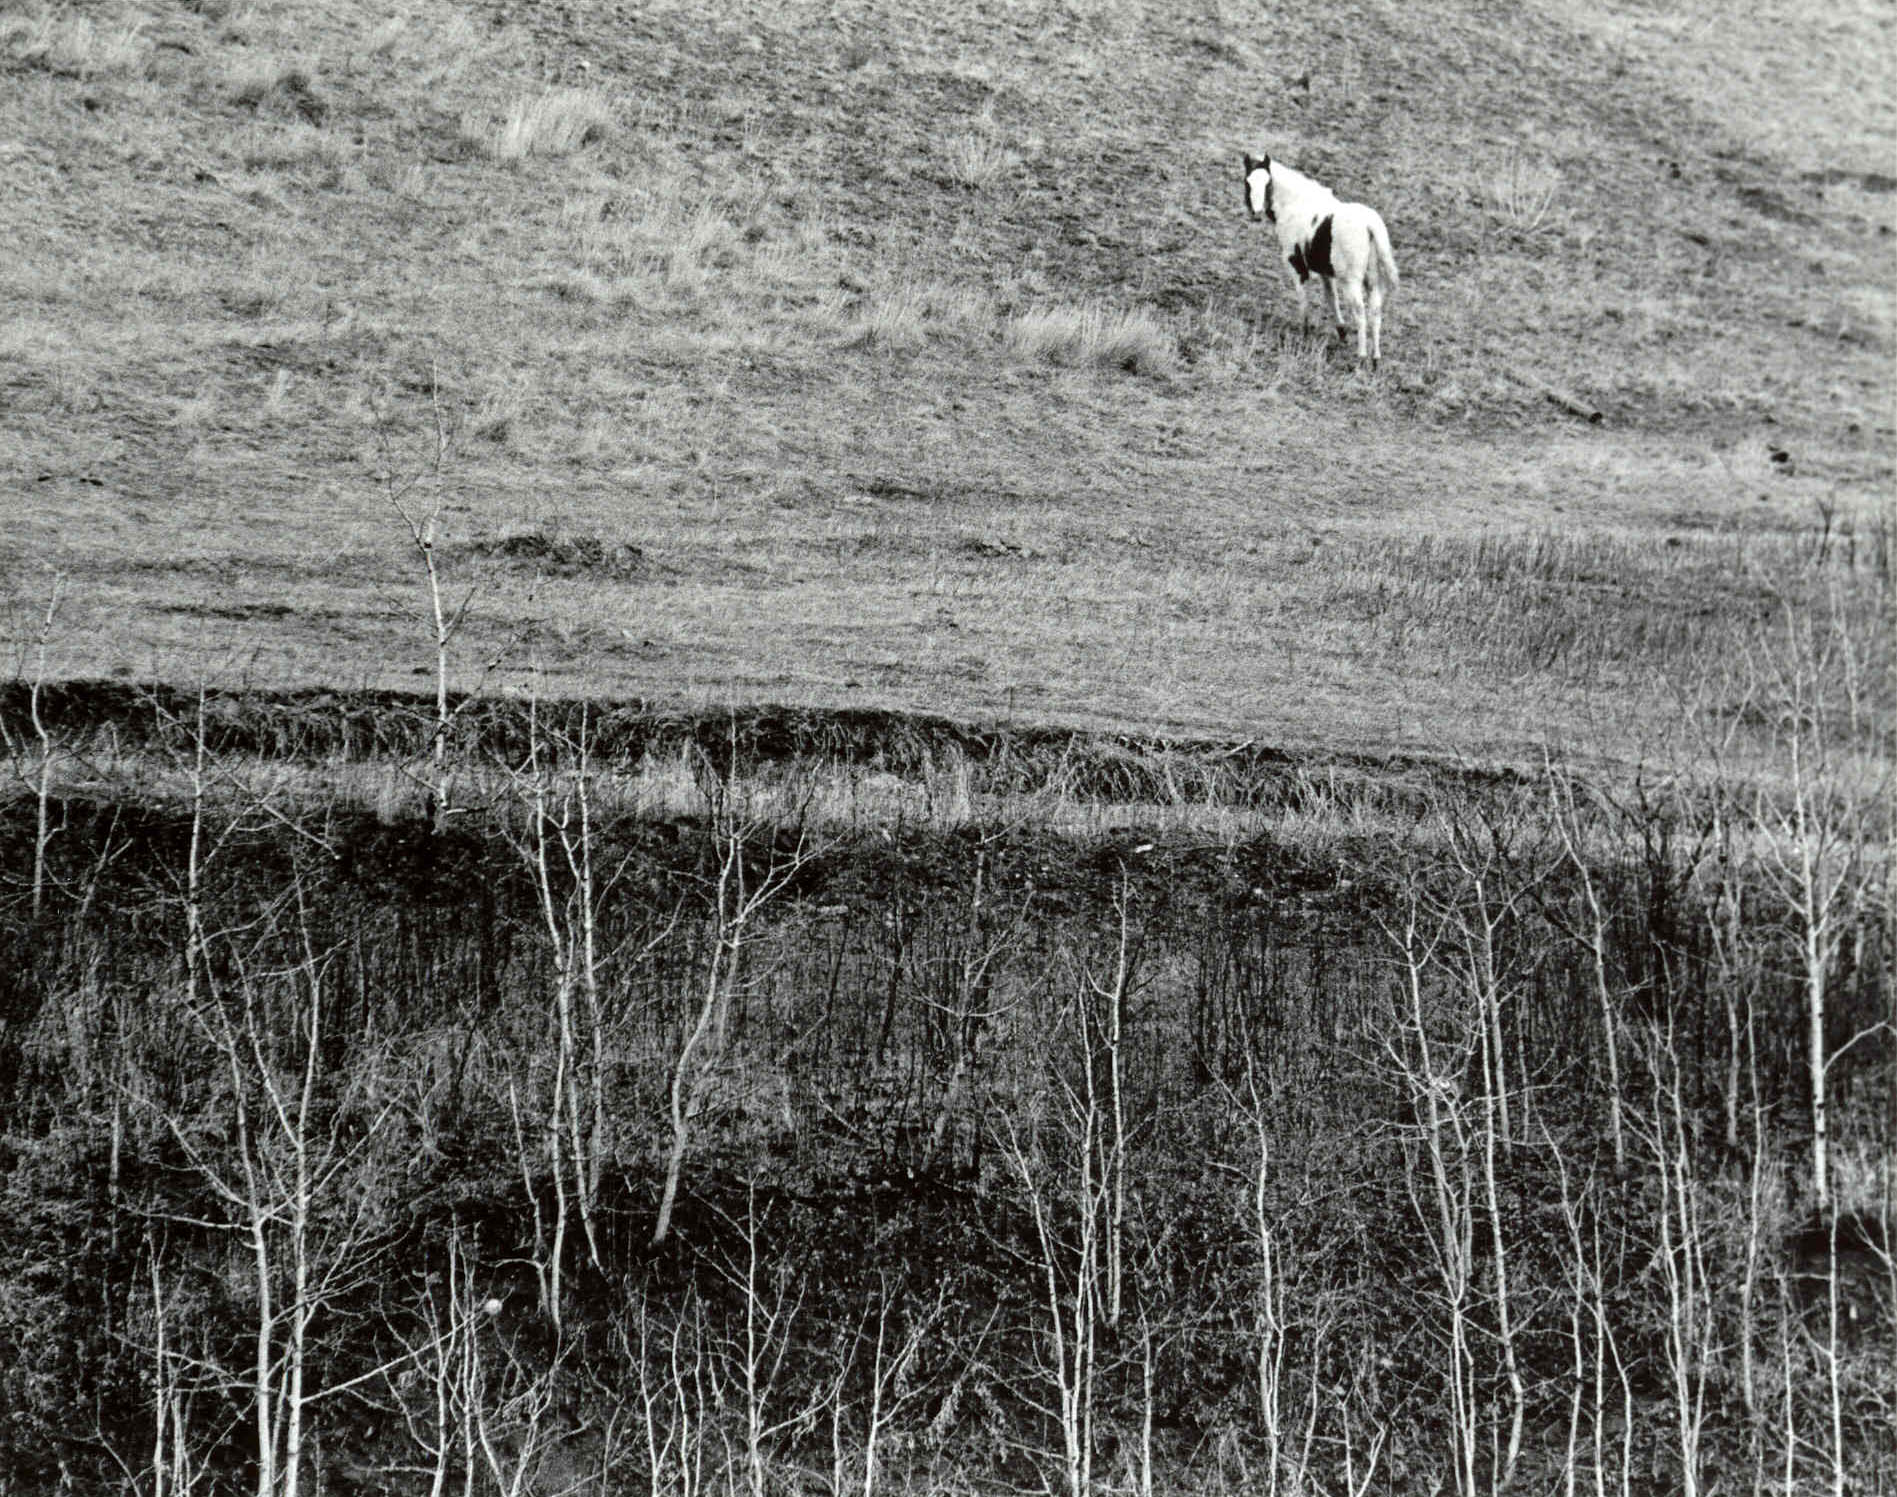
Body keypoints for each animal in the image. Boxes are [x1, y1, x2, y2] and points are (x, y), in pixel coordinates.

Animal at [1242, 153, 1399, 369]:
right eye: (1247, 181)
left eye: (1268, 183)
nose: (1256, 214)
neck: (1295, 205)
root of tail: (1369, 225)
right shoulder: (1326, 273)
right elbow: (1331, 298)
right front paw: (1341, 331)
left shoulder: (1296, 265)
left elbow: (1304, 300)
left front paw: (1305, 331)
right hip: (1373, 282)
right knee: (1375, 313)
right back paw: (1375, 359)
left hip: (1351, 282)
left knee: (1360, 312)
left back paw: (1361, 356)